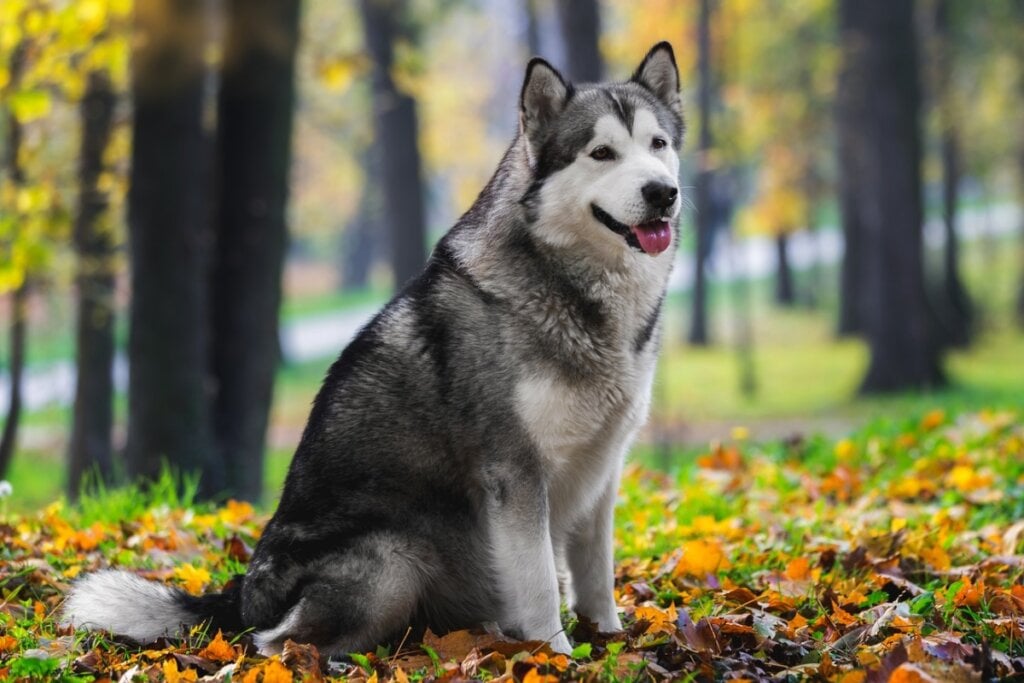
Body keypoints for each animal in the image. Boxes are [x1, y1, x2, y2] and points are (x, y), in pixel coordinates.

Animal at [66, 41, 688, 655]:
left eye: (657, 145)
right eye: (602, 153)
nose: (663, 192)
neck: (573, 287)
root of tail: (241, 597)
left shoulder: (602, 467)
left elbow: (596, 573)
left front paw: (610, 639)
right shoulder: (515, 473)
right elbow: (538, 584)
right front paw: (555, 656)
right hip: (391, 558)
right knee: (275, 643)